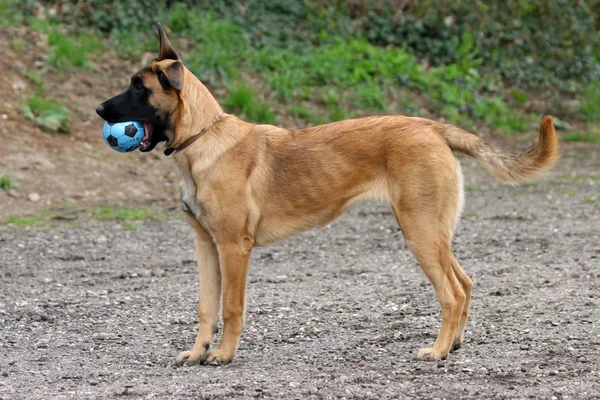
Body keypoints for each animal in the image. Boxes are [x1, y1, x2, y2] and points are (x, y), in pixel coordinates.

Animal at [96, 22, 560, 366]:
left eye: (138, 88)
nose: (99, 109)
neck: (203, 141)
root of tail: (432, 126)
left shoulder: (233, 249)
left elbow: (230, 307)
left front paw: (223, 355)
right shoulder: (206, 247)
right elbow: (206, 307)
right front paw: (196, 353)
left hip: (421, 233)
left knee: (452, 292)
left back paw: (439, 350)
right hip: (434, 233)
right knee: (464, 282)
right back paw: (456, 344)